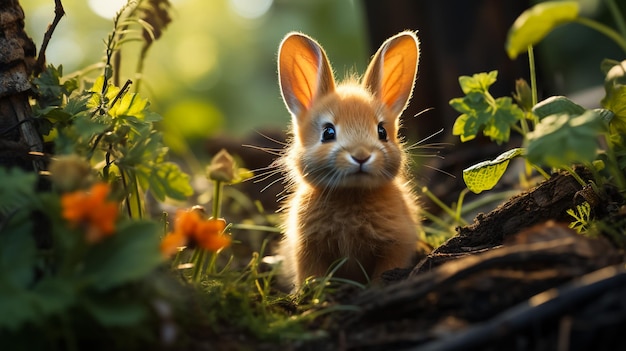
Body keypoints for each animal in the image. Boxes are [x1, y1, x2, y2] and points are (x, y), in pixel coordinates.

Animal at [274, 29, 416, 288]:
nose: (361, 156)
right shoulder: (307, 249)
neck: (350, 193)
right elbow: (311, 273)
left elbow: (388, 267)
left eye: (382, 132)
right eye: (328, 132)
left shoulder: (396, 244)